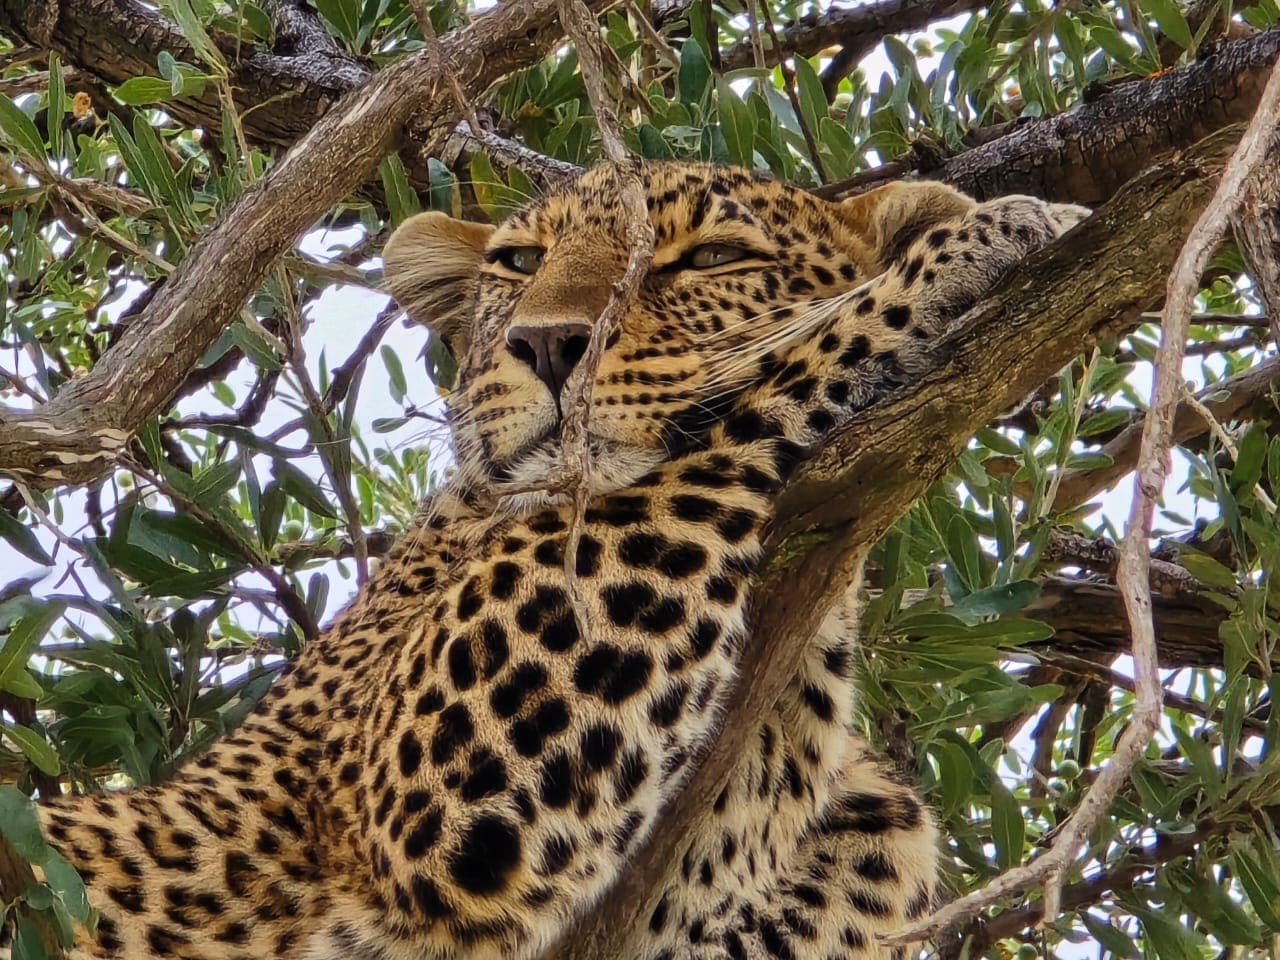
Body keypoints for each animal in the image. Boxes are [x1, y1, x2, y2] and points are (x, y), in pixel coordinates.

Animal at [4, 160, 1089, 960]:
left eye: (710, 259)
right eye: (520, 262)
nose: (552, 343)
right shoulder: (403, 781)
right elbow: (762, 381)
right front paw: (978, 242)